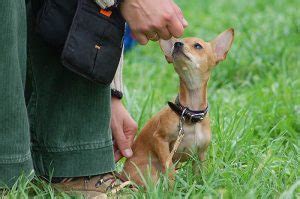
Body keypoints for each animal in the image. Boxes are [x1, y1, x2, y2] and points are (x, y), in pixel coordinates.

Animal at [120, 28, 233, 186]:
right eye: (177, 42)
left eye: (197, 46)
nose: (177, 44)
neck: (191, 115)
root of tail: (121, 174)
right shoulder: (160, 141)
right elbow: (169, 169)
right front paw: (172, 188)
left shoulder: (201, 154)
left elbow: (199, 176)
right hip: (149, 173)